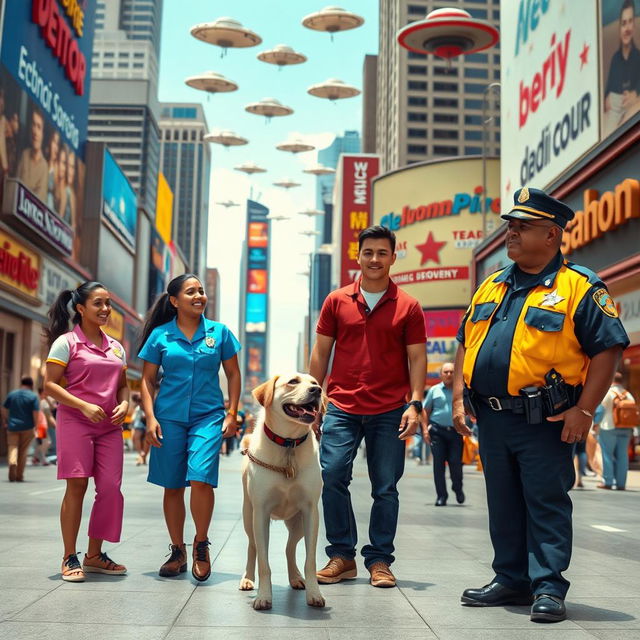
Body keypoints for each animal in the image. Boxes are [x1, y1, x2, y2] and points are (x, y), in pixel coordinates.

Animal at [240, 376, 324, 608]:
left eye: (314, 382)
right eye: (293, 382)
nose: (317, 390)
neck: (288, 445)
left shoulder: (310, 511)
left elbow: (310, 560)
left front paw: (314, 593)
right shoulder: (261, 512)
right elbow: (263, 562)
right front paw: (263, 596)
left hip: (298, 522)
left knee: (289, 548)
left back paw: (295, 578)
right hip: (248, 516)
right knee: (252, 546)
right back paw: (247, 578)